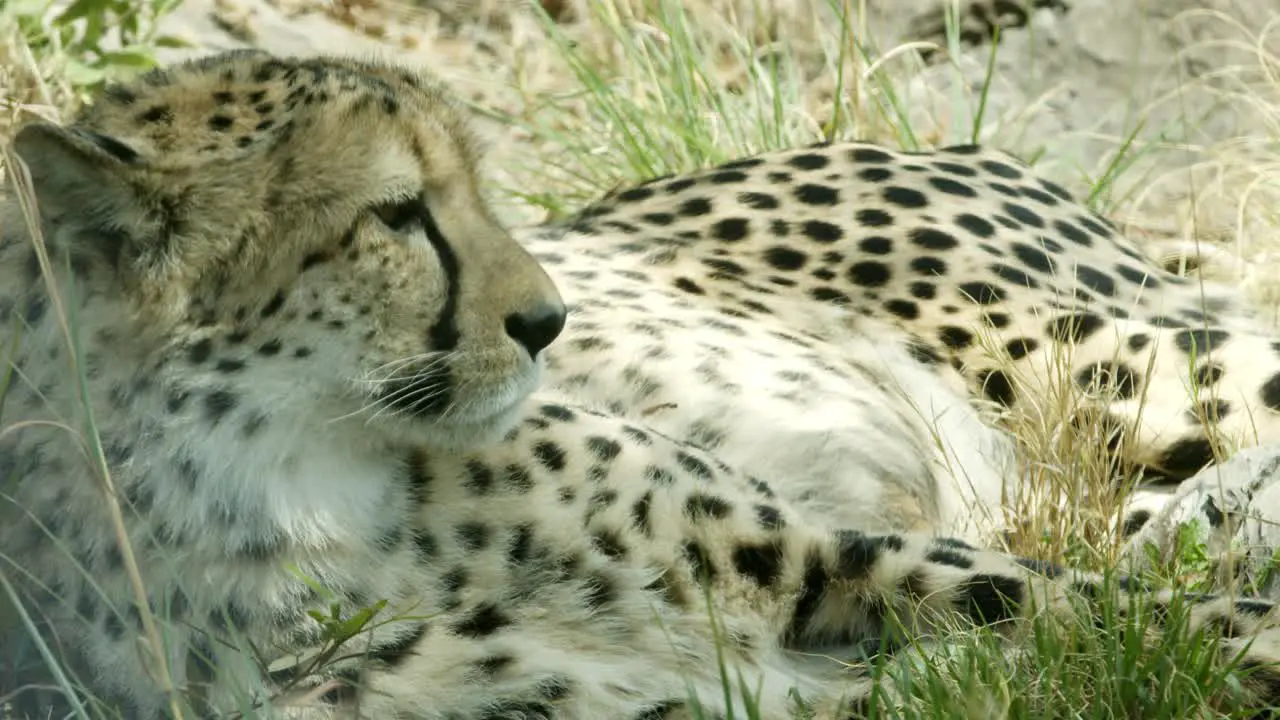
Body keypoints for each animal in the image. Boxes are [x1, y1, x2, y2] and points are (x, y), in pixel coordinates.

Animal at [5, 47, 1280, 712]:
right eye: (398, 213)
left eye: (475, 186)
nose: (545, 319)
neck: (294, 485)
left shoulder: (817, 554)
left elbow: (1134, 618)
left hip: (1097, 355)